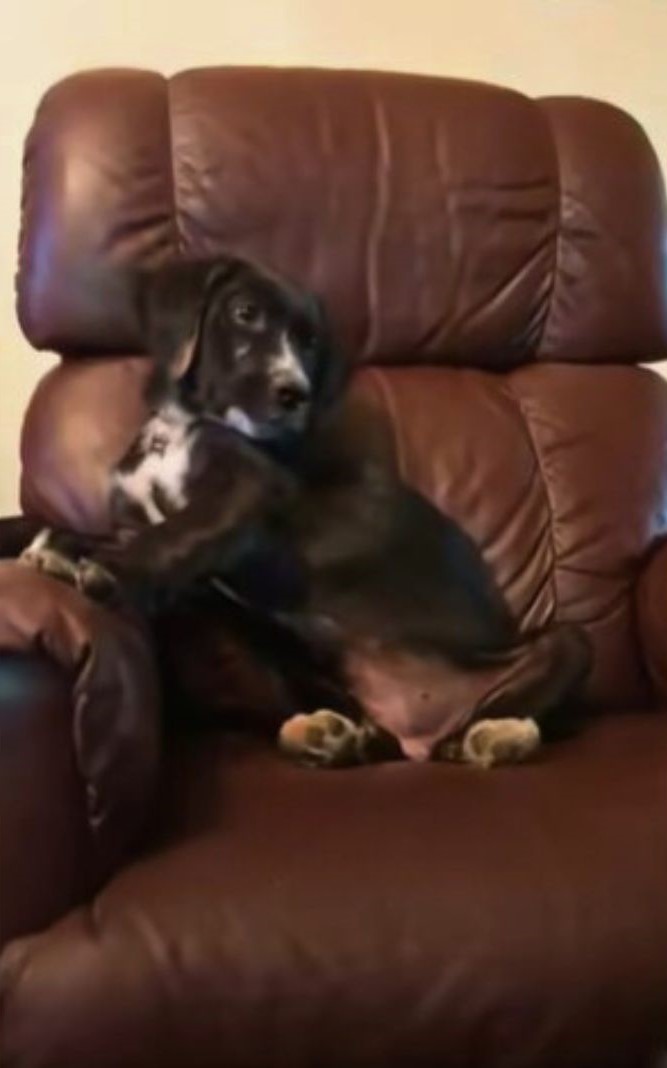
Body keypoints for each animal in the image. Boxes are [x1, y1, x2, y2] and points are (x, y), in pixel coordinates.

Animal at [22, 258, 589, 773]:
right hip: (292, 646)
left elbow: (179, 532)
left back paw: (495, 736)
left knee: (484, 722)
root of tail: (418, 734)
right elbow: (124, 533)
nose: (294, 393)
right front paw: (58, 547)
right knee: (371, 736)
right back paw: (335, 738)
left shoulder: (248, 491)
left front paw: (110, 568)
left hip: (560, 647)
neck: (185, 426)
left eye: (311, 342)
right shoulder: (142, 525)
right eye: (244, 313)